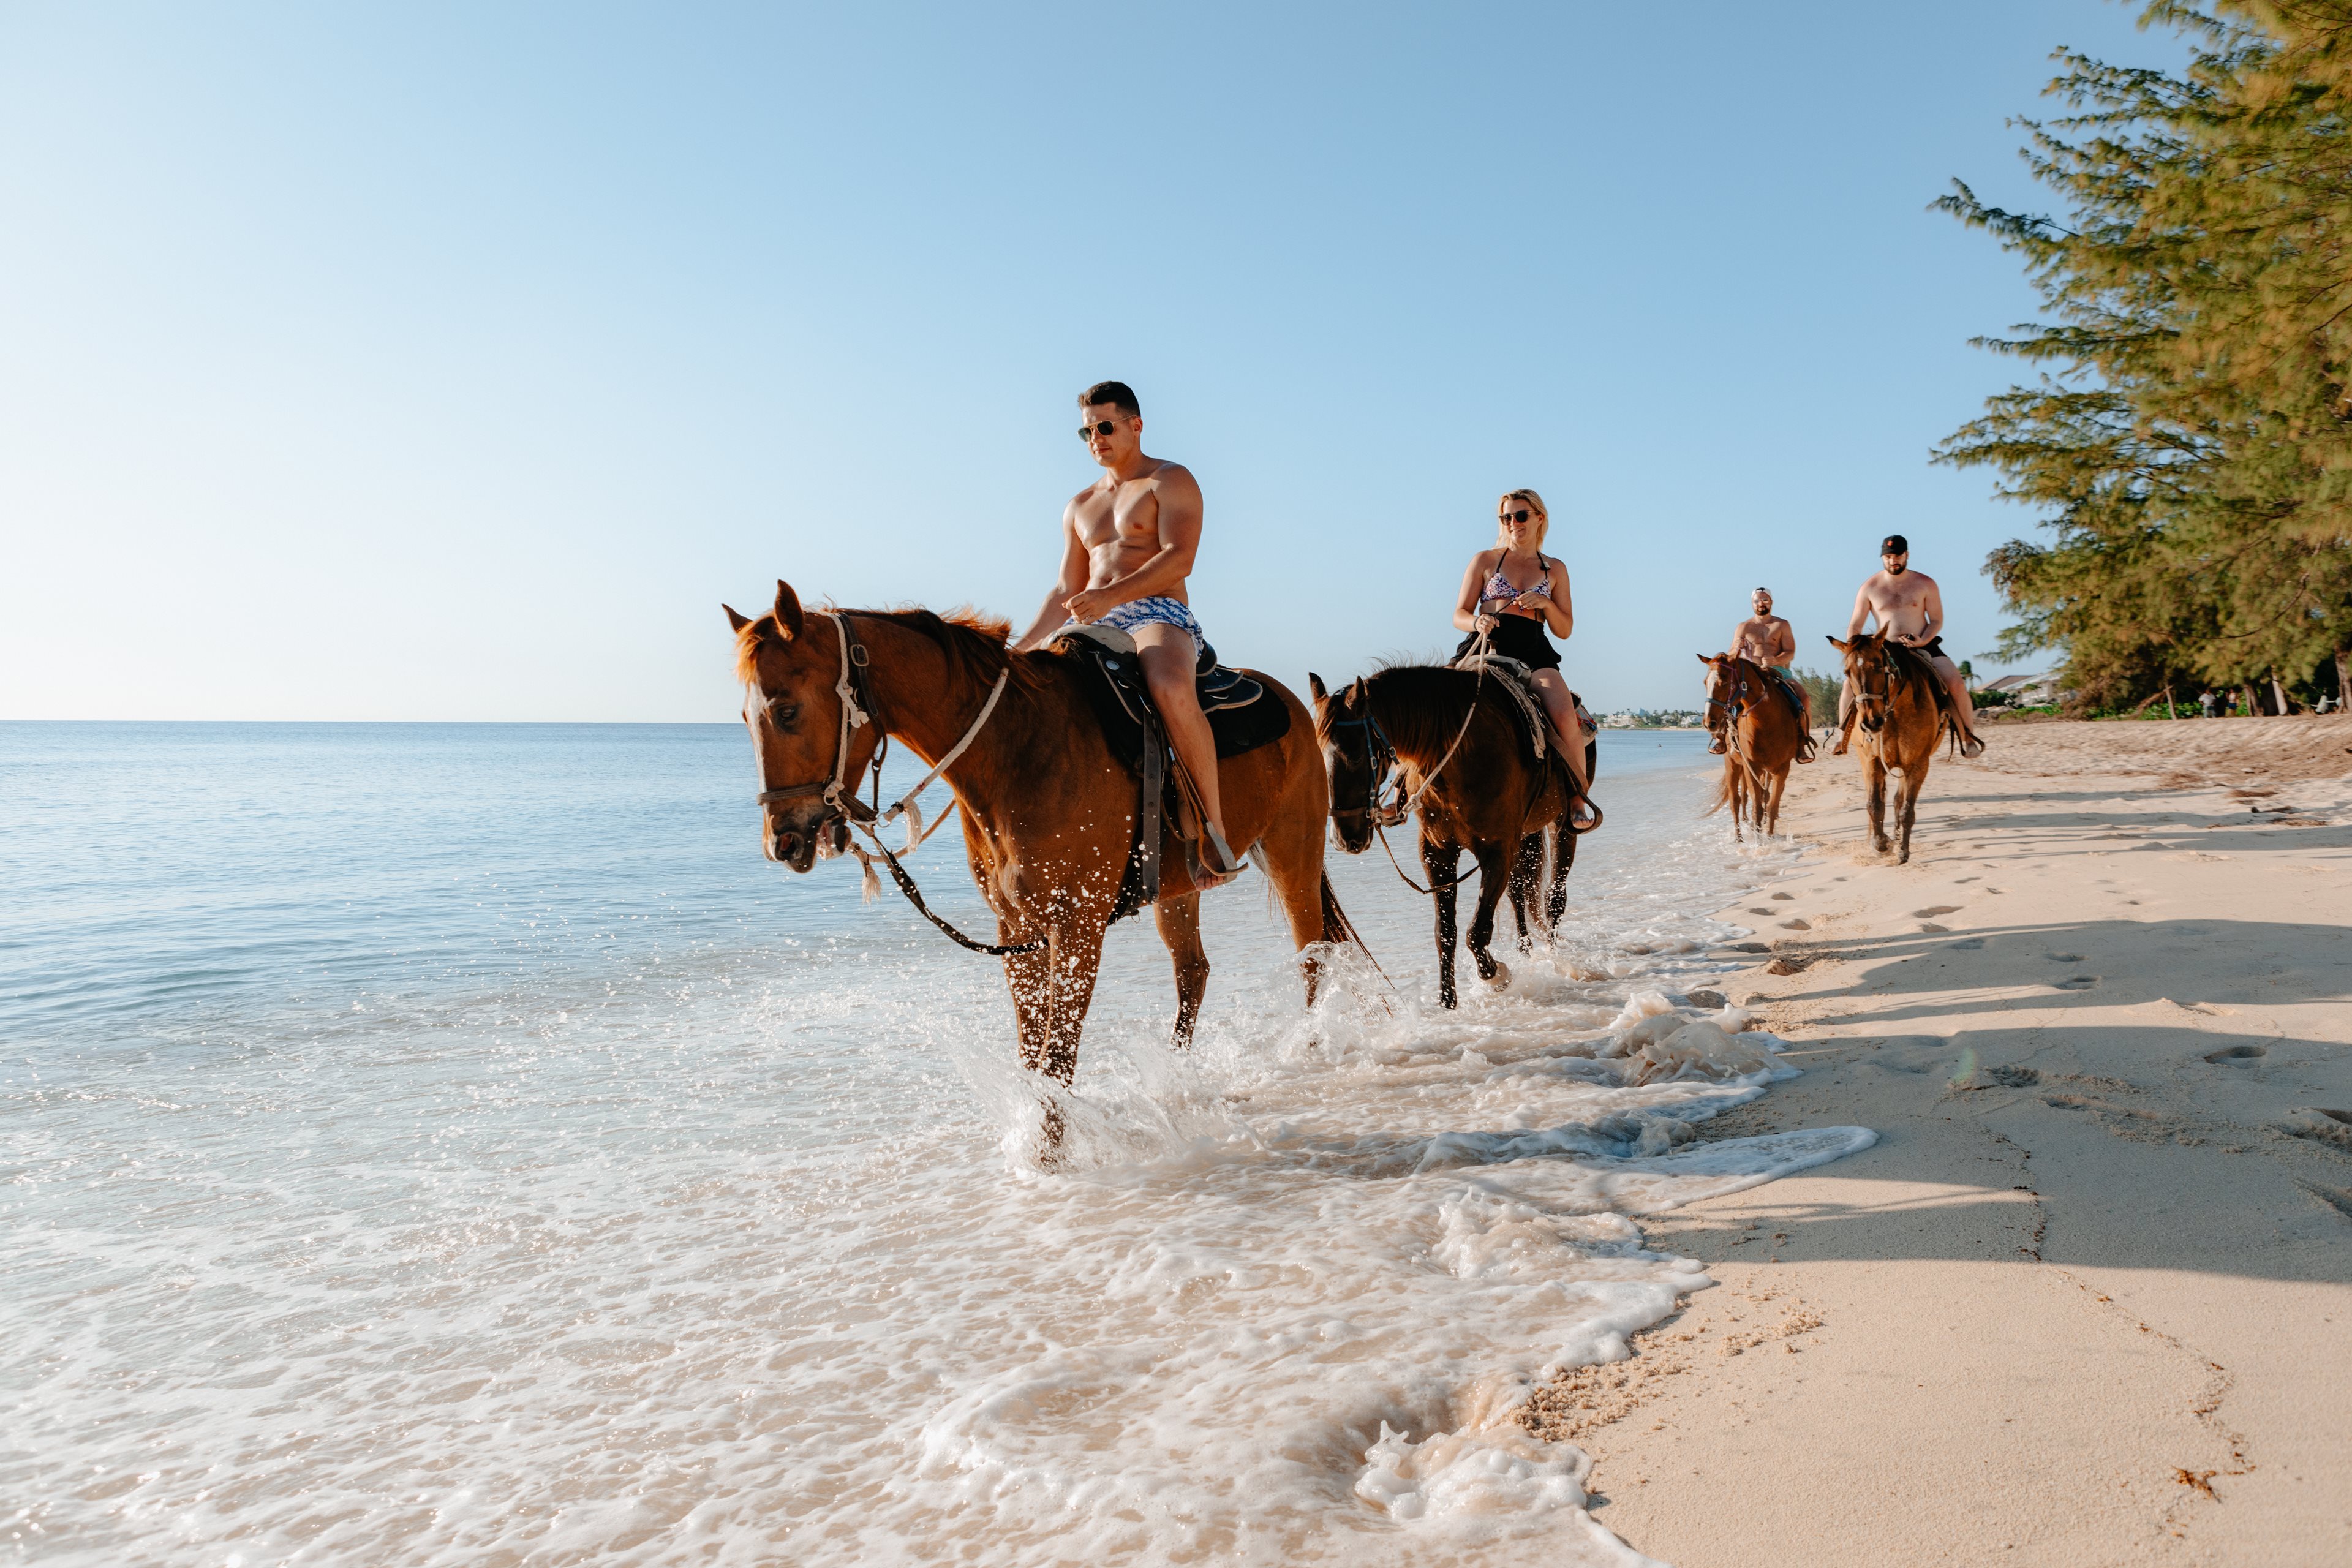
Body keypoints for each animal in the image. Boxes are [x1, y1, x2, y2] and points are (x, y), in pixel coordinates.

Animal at [724, 582, 1354, 1147]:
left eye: (786, 711)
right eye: (745, 718)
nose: (783, 841)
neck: (1017, 750)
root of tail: (1292, 703)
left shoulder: (1078, 928)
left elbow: (1057, 1056)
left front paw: (1052, 1157)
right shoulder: (1018, 929)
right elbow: (1031, 1054)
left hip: (1293, 860)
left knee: (1313, 954)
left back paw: (1310, 1049)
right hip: (1179, 891)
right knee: (1193, 973)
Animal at [1317, 668, 1589, 1011]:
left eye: (1354, 756)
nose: (1344, 837)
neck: (1461, 756)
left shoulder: (1497, 851)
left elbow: (1477, 931)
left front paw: (1496, 975)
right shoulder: (1438, 852)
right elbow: (1445, 932)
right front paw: (1447, 1000)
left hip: (1561, 825)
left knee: (1555, 899)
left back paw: (1552, 959)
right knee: (1518, 895)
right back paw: (1525, 952)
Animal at [1703, 653, 1806, 842]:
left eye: (1725, 681)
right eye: (1705, 682)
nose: (1709, 722)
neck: (1766, 721)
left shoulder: (1781, 769)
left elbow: (1772, 805)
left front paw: (1769, 837)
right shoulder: (1752, 767)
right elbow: (1756, 808)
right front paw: (1758, 841)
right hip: (1732, 764)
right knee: (1736, 801)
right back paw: (1739, 838)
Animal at [1825, 630, 1956, 870]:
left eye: (1878, 665)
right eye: (1847, 672)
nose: (1871, 723)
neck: (1893, 714)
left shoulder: (1917, 765)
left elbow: (1905, 810)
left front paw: (1901, 851)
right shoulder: (1872, 762)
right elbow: (1875, 805)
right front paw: (1880, 844)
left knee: (1897, 802)